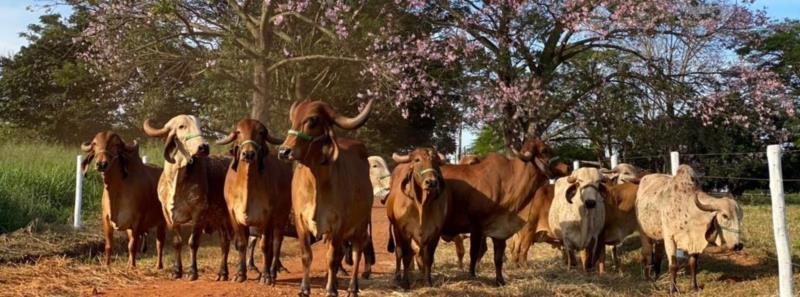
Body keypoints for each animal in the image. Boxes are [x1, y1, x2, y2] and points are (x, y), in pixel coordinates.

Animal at [80, 132, 166, 268]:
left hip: (162, 221)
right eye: (95, 144)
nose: (101, 164)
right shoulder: (106, 219)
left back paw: (158, 266)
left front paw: (132, 267)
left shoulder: (137, 220)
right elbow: (109, 246)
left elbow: (132, 246)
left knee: (160, 243)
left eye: (115, 144)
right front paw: (107, 265)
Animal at [143, 115, 233, 280]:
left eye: (200, 126)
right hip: (219, 218)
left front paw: (192, 272)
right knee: (225, 241)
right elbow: (177, 242)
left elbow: (193, 242)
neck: (177, 180)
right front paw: (176, 271)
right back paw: (222, 273)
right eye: (181, 126)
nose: (203, 147)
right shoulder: (168, 215)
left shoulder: (198, 212)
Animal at [276, 99, 374, 296]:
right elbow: (307, 256)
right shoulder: (301, 222)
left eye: (313, 120)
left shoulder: (338, 225)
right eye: (293, 118)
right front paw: (304, 289)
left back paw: (352, 287)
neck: (316, 182)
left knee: (357, 252)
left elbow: (332, 258)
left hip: (360, 225)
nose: (284, 152)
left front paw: (331, 290)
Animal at [386, 148, 450, 286]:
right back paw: (397, 276)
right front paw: (405, 282)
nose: (431, 182)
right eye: (417, 160)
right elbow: (406, 256)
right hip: (395, 230)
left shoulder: (435, 233)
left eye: (435, 161)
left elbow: (428, 258)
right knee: (399, 252)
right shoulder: (404, 231)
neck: (422, 205)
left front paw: (428, 281)